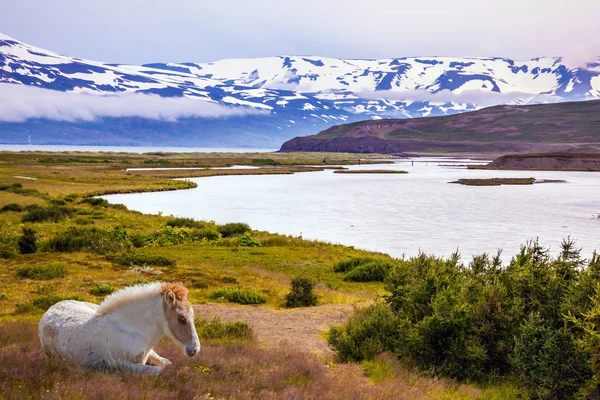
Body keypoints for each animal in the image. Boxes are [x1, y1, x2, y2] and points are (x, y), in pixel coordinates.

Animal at [38, 282, 200, 374]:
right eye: (181, 319)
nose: (195, 349)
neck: (132, 330)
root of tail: (51, 309)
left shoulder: (149, 353)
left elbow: (167, 363)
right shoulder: (118, 364)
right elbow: (157, 370)